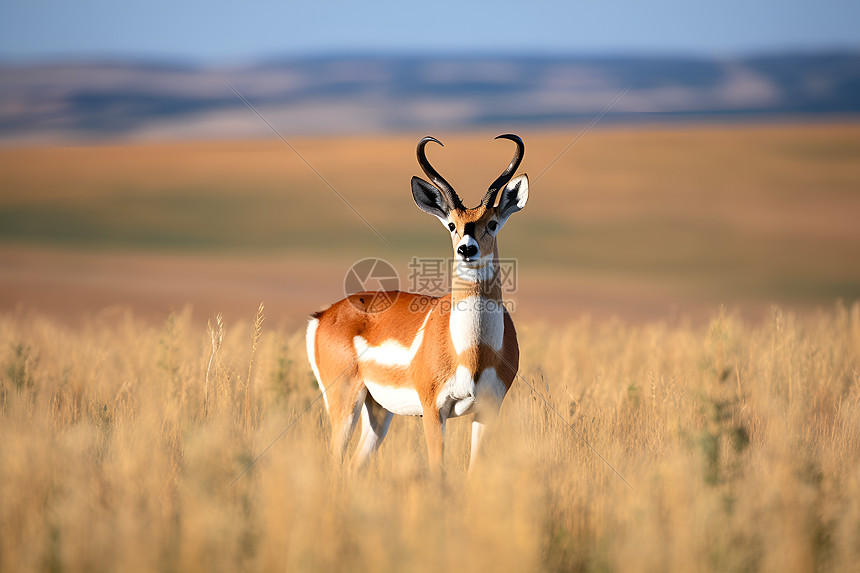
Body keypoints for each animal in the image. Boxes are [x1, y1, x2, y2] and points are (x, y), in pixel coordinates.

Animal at [306, 135, 528, 474]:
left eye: (491, 224)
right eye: (451, 225)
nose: (467, 249)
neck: (471, 352)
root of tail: (324, 315)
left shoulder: (488, 411)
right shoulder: (434, 410)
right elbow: (438, 471)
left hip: (377, 411)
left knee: (355, 465)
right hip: (344, 403)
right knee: (335, 461)